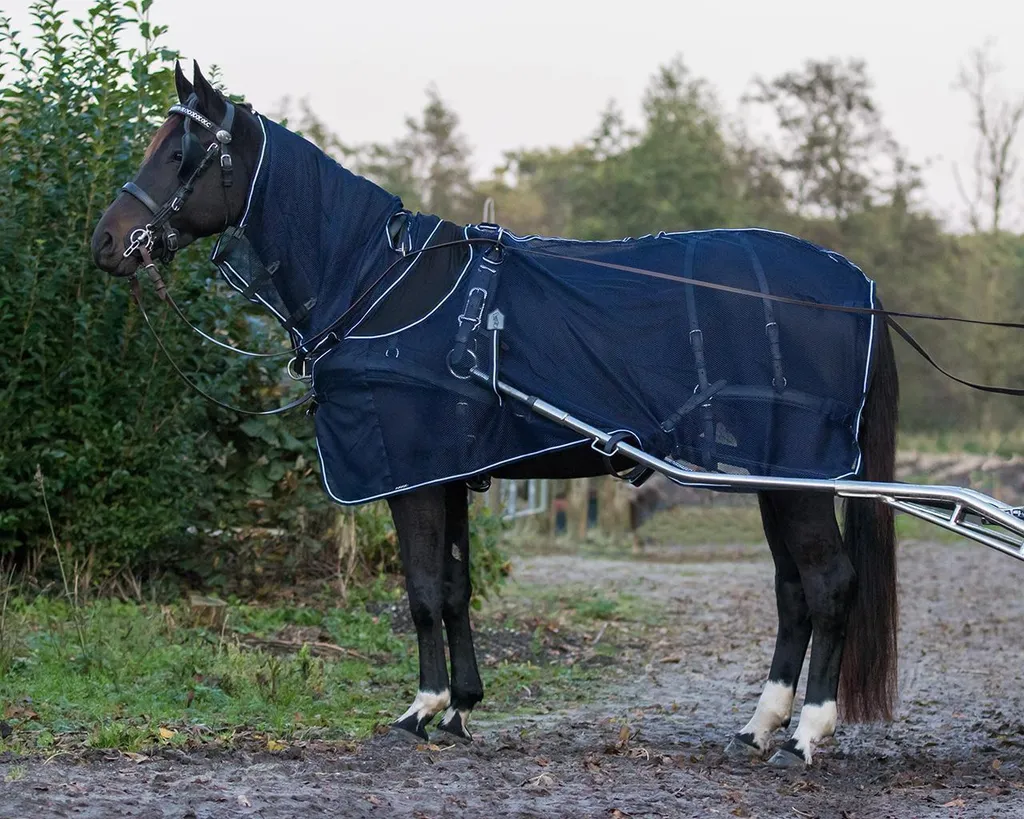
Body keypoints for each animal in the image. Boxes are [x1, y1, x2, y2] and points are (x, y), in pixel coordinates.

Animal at [91, 62, 899, 767]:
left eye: (178, 153)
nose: (106, 241)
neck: (379, 284)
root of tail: (855, 284)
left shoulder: (410, 474)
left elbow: (420, 592)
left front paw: (420, 709)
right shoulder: (445, 471)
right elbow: (454, 589)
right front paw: (460, 707)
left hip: (796, 478)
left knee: (830, 585)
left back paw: (807, 733)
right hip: (772, 479)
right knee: (793, 592)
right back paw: (760, 725)